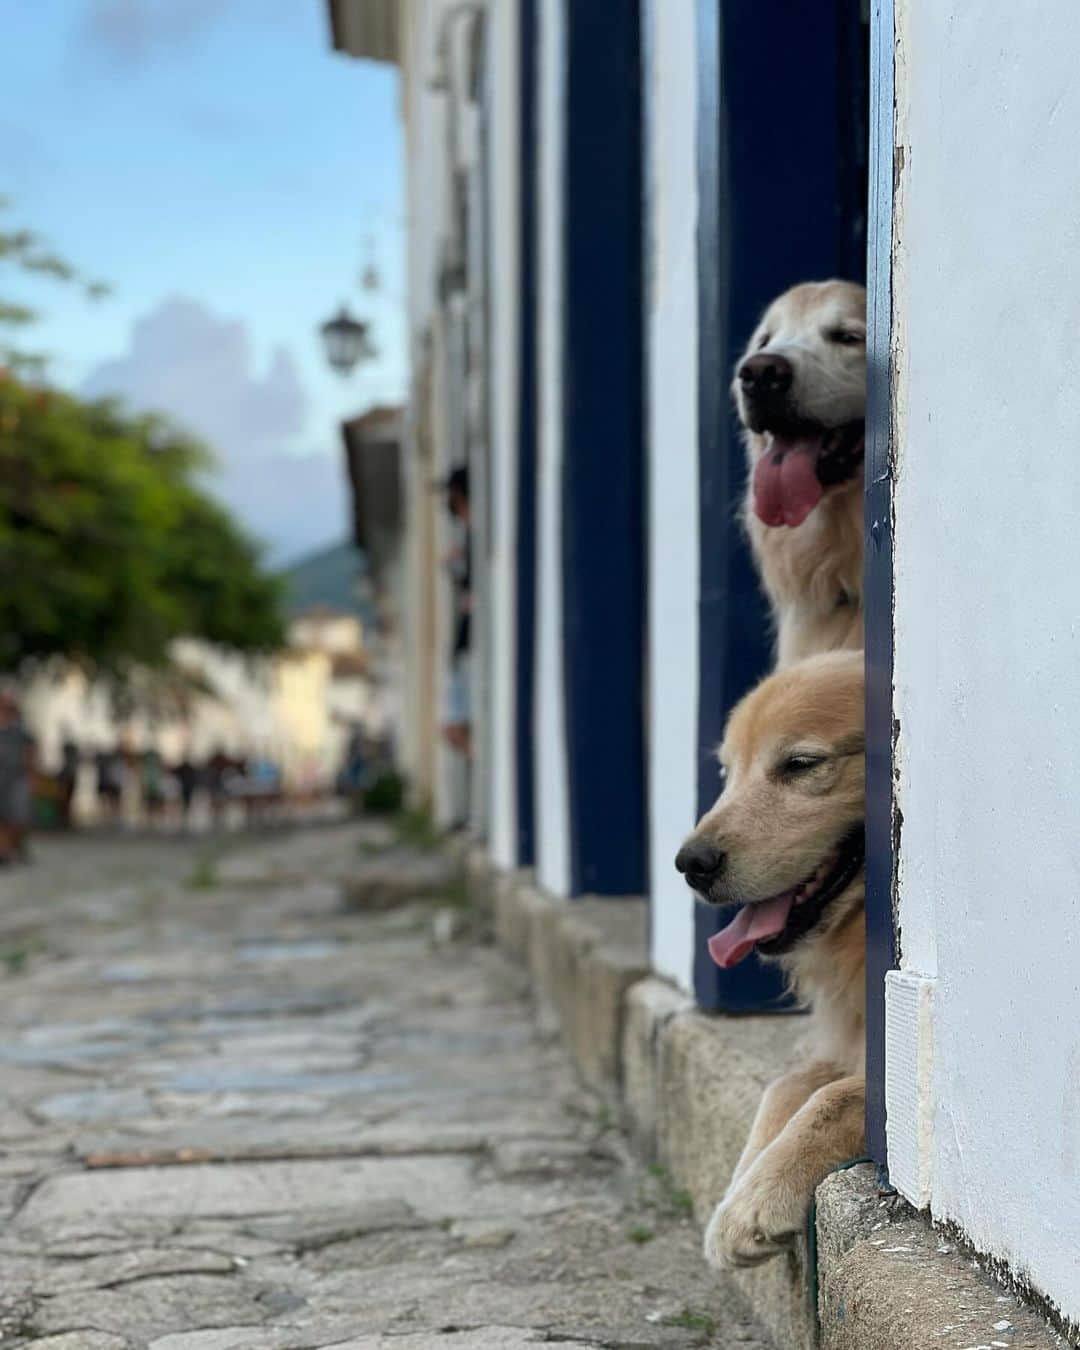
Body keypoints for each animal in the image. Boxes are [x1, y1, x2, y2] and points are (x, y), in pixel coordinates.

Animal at [675, 650, 869, 1263]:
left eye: (800, 764)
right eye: (726, 772)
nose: (690, 864)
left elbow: (836, 1097)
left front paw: (757, 1199)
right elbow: (786, 1086)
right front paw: (740, 1186)